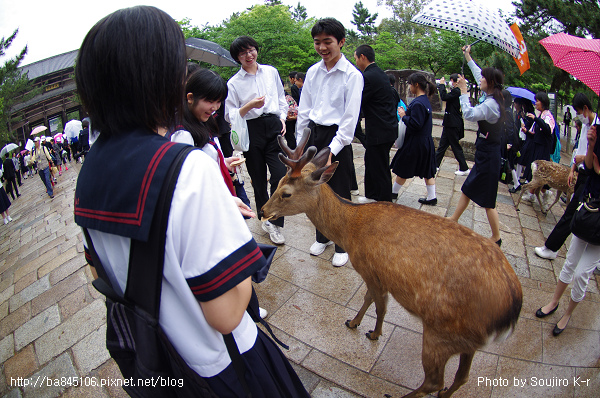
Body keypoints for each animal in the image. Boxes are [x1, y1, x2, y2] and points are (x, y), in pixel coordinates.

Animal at [260, 131, 524, 398]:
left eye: (286, 193)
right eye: (278, 181)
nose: (262, 210)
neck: (350, 230)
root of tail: (512, 305)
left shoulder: (370, 269)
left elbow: (378, 305)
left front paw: (371, 332)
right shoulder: (378, 276)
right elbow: (371, 301)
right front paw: (356, 323)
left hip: (441, 330)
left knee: (434, 380)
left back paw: (398, 394)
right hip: (468, 340)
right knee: (461, 377)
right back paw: (445, 393)